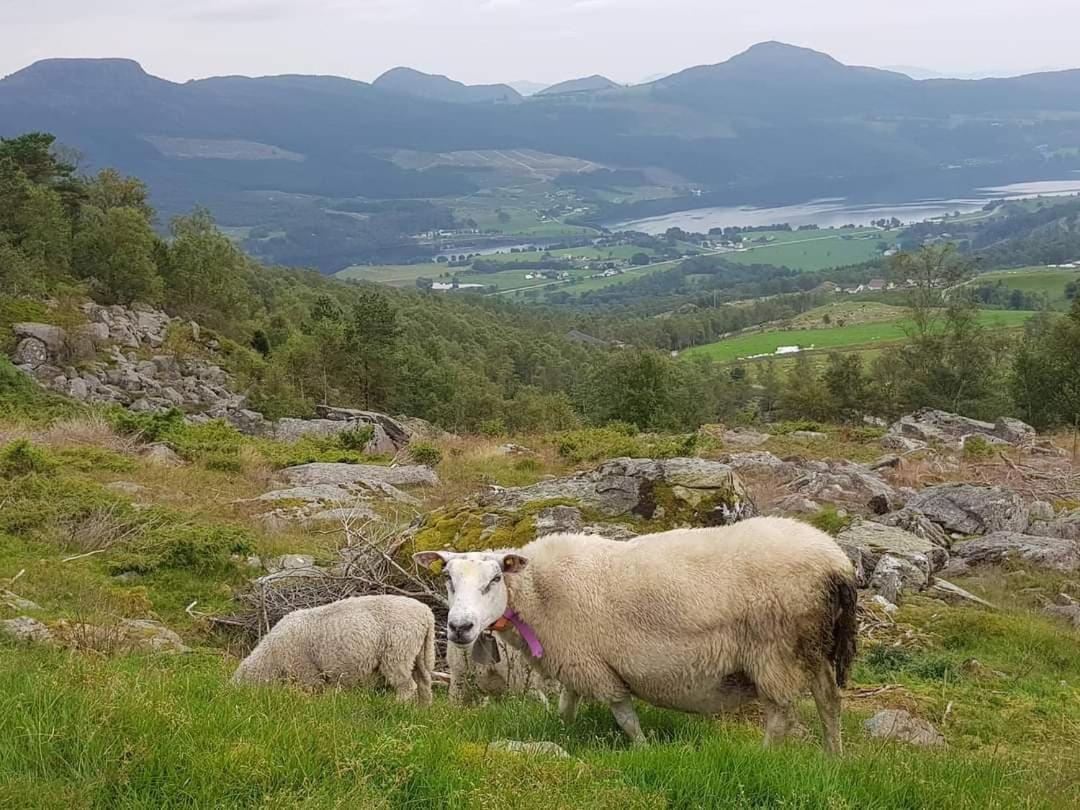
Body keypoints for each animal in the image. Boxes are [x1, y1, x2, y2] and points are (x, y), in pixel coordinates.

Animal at [231, 591, 434, 708]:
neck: (271, 656)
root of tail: (426, 613)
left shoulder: (306, 671)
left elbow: (314, 692)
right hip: (418, 653)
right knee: (424, 683)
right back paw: (422, 710)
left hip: (398, 651)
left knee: (408, 687)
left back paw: (395, 707)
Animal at [416, 516, 855, 751]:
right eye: (448, 578)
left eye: (494, 579)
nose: (460, 627)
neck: (538, 589)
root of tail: (837, 563)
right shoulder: (577, 656)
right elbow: (567, 705)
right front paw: (563, 732)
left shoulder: (594, 665)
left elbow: (624, 716)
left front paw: (642, 748)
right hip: (813, 645)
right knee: (829, 701)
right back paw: (834, 757)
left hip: (775, 648)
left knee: (781, 713)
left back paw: (764, 755)